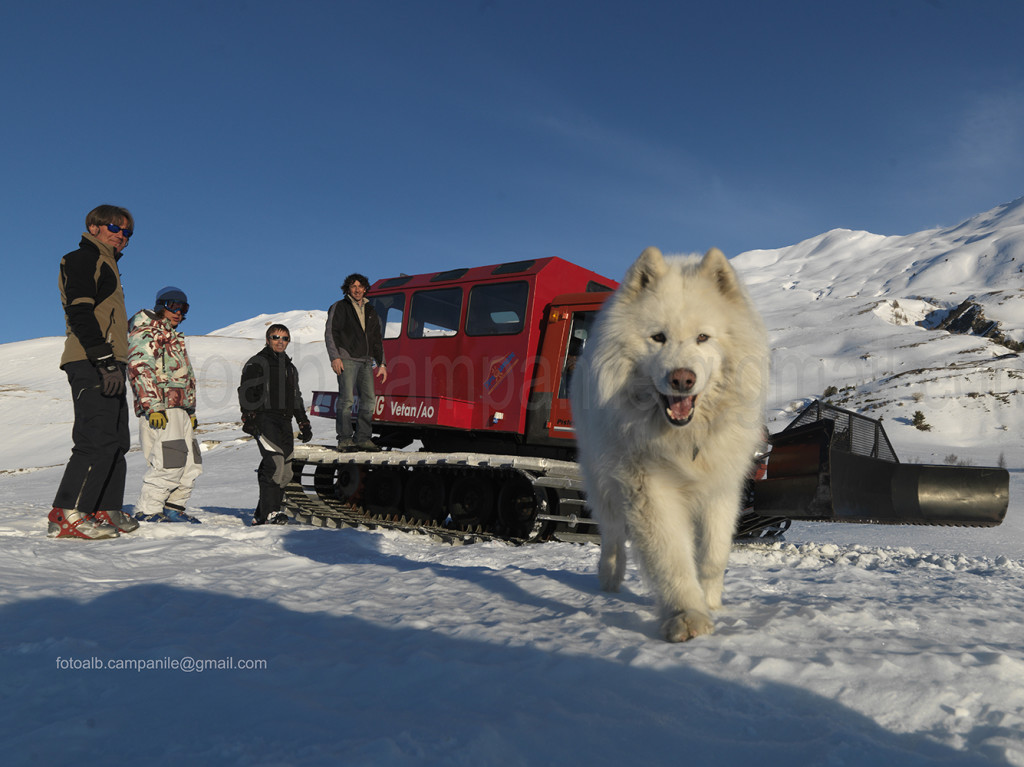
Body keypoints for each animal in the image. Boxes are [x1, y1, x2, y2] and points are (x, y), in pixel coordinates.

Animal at [573, 246, 765, 638]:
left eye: (703, 338)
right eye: (658, 337)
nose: (682, 379)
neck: (685, 436)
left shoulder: (722, 487)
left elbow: (713, 553)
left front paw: (711, 601)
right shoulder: (649, 488)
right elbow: (671, 556)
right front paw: (686, 615)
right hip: (601, 480)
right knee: (612, 534)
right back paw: (610, 579)